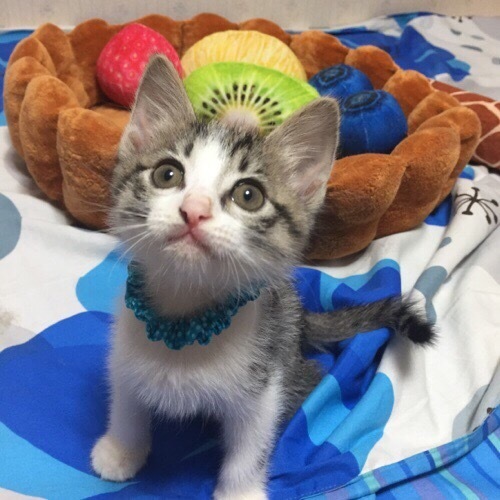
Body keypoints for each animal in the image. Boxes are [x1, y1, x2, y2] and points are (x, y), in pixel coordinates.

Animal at [90, 55, 433, 500]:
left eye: (249, 196)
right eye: (167, 175)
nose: (194, 210)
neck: (185, 312)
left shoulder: (265, 384)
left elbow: (252, 441)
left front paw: (239, 491)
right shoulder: (124, 350)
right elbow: (126, 400)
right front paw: (121, 451)